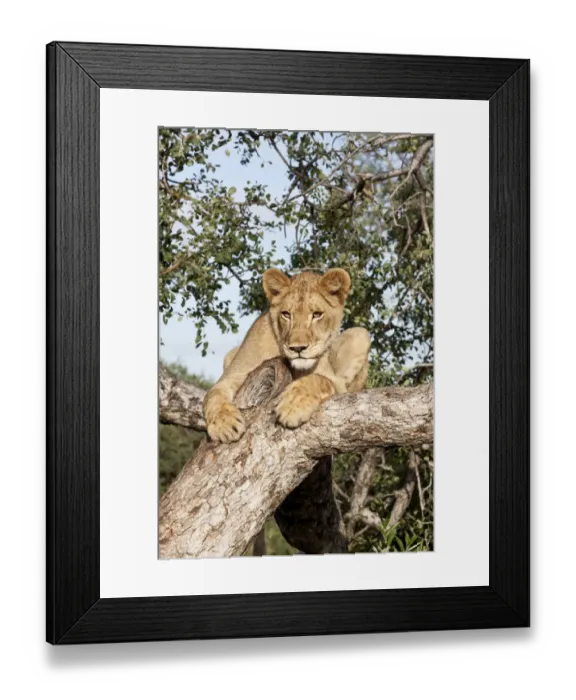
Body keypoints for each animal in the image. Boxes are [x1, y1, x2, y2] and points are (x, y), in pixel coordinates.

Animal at [203, 267, 371, 443]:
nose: (297, 348)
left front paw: (293, 406)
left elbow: (319, 379)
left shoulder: (338, 386)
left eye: (317, 314)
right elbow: (213, 394)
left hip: (361, 334)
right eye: (286, 314)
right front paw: (224, 424)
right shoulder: (235, 375)